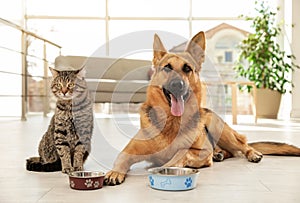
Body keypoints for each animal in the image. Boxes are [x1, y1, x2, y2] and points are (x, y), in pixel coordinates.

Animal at [104, 31, 300, 186]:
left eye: (187, 69)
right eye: (167, 68)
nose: (177, 85)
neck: (172, 122)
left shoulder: (200, 151)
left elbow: (181, 153)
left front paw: (166, 167)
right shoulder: (129, 151)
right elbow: (121, 159)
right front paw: (114, 172)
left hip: (218, 127)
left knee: (243, 146)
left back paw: (252, 154)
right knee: (230, 151)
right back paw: (219, 154)